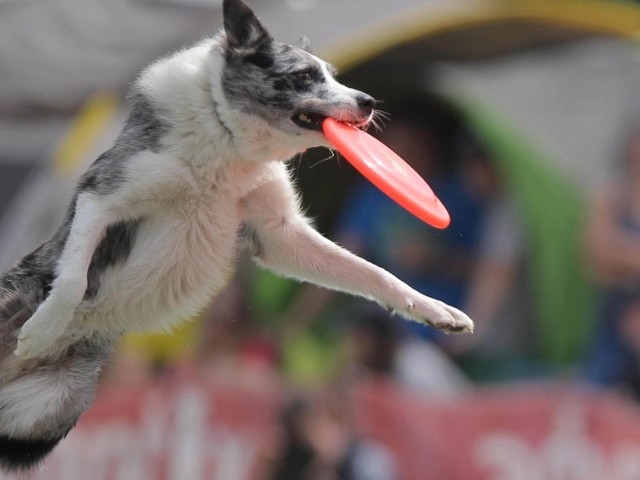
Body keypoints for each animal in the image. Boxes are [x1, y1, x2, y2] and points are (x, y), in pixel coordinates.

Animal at [0, 0, 470, 472]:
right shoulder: (101, 196)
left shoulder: (279, 235)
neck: (228, 139)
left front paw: (435, 310)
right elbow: (74, 278)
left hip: (51, 407)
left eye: (334, 74)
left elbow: (374, 274)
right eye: (305, 76)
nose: (369, 102)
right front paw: (43, 328)